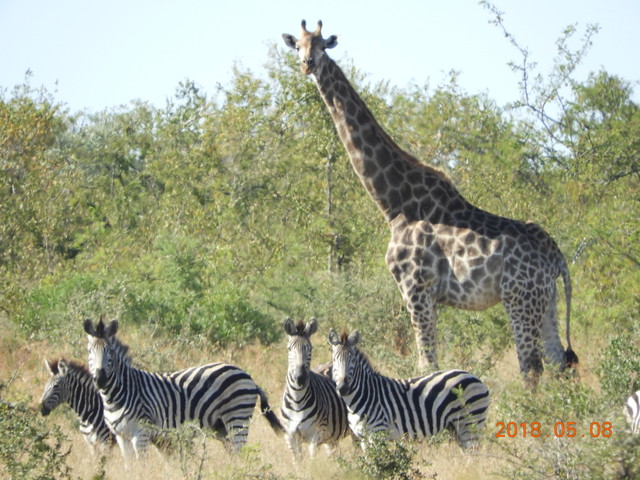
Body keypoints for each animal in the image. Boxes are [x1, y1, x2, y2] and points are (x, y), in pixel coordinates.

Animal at [83, 318, 283, 459]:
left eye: (110, 352)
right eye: (89, 351)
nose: (100, 380)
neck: (115, 395)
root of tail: (248, 377)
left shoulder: (141, 432)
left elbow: (141, 463)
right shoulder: (121, 436)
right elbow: (129, 466)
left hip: (237, 418)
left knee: (241, 452)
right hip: (220, 425)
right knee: (234, 453)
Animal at [281, 317, 350, 459]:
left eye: (310, 349)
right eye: (289, 349)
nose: (300, 378)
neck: (297, 400)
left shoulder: (316, 435)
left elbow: (312, 461)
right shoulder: (290, 436)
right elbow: (298, 462)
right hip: (331, 437)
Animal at [282, 20, 578, 384]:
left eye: (323, 45)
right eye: (298, 46)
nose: (307, 64)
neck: (394, 204)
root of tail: (556, 257)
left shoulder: (415, 287)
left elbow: (426, 362)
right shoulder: (429, 296)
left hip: (519, 300)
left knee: (531, 367)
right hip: (547, 301)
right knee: (559, 361)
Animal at [328, 328, 490, 448]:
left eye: (352, 361)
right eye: (334, 360)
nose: (343, 388)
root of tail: (476, 378)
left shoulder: (378, 432)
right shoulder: (363, 438)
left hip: (470, 425)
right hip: (456, 428)